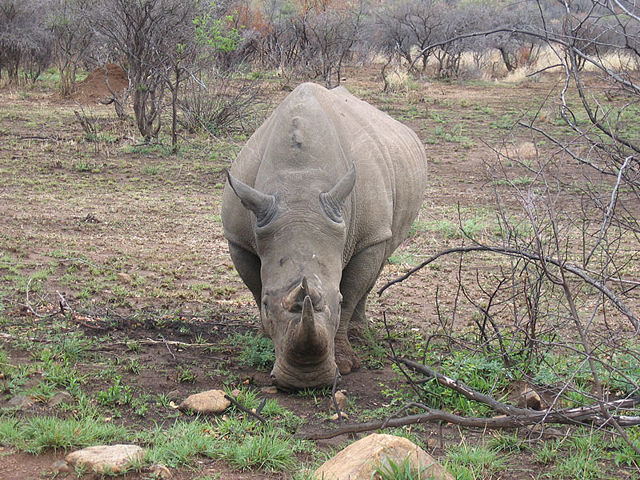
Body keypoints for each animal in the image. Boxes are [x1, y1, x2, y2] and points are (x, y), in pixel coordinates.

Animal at [222, 82, 428, 390]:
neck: (298, 185)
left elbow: (353, 290)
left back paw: (361, 334)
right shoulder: (239, 238)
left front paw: (345, 363)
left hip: (382, 223)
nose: (305, 381)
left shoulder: (369, 235)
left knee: (381, 257)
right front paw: (264, 338)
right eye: (268, 304)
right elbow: (254, 286)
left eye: (338, 301)